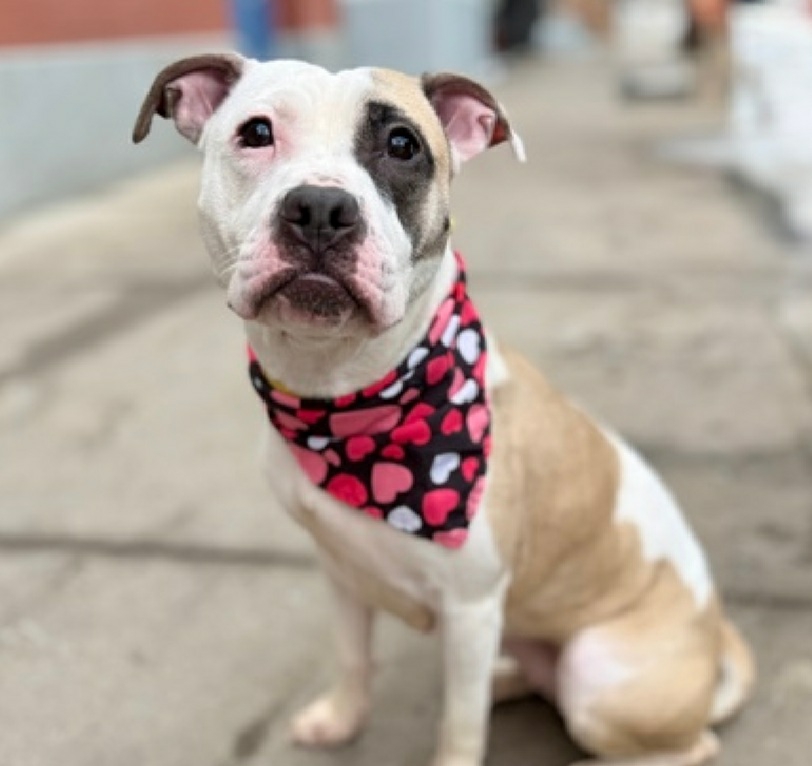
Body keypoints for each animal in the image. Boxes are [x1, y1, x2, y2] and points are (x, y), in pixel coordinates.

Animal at [133, 53, 755, 766]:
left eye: (403, 145)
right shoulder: (340, 570)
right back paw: (509, 678)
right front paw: (342, 719)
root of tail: (714, 637)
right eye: (256, 133)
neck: (342, 398)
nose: (320, 207)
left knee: (686, 742)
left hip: (599, 675)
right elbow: (353, 656)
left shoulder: (471, 606)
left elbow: (459, 725)